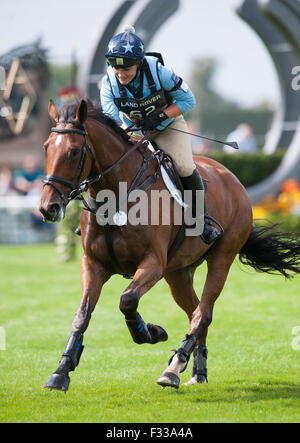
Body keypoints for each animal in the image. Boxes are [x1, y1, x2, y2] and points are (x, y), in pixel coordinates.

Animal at [39, 99, 300, 392]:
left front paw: (151, 332)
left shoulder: (153, 263)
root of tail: (232, 178)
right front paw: (61, 371)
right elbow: (82, 314)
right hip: (178, 273)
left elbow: (127, 300)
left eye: (74, 152)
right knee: (195, 310)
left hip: (221, 257)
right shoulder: (94, 264)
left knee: (203, 313)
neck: (118, 194)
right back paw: (197, 372)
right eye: (47, 147)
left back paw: (174, 367)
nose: (48, 208)